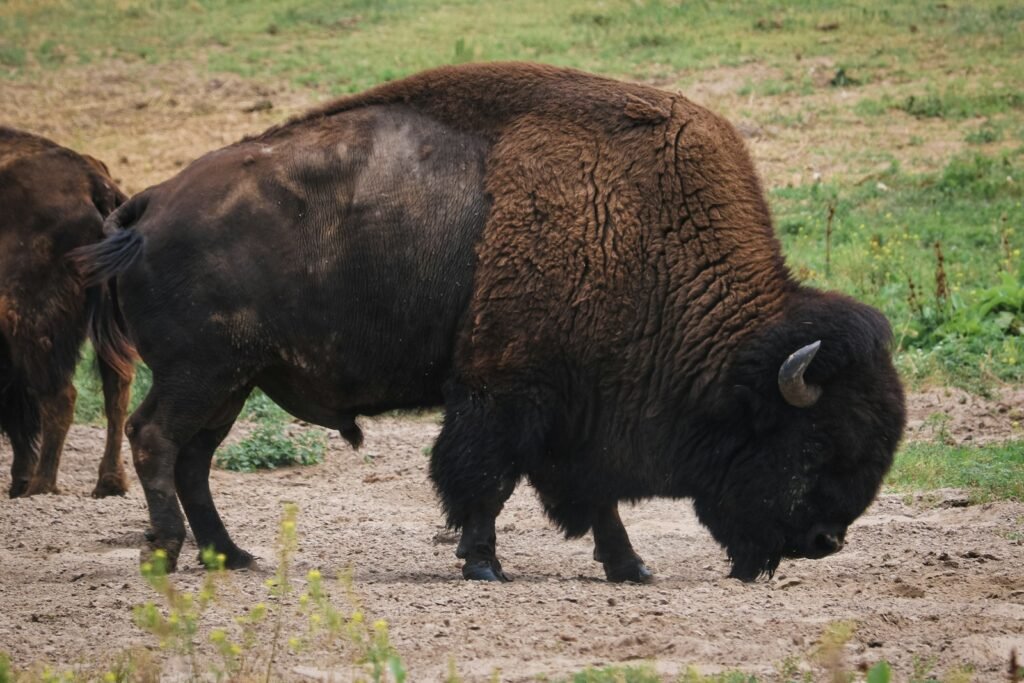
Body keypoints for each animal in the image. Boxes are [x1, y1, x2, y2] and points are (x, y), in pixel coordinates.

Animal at [1, 127, 134, 498]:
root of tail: (94, 182)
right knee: (117, 388)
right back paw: (109, 482)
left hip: (28, 321)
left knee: (60, 397)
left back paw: (40, 486)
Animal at [74, 63, 905, 582]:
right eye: (815, 437)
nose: (824, 541)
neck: (642, 229)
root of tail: (146, 206)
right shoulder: (506, 389)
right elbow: (484, 478)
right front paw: (484, 562)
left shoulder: (577, 409)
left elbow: (591, 495)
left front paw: (631, 566)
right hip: (202, 371)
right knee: (158, 439)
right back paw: (168, 551)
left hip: (232, 380)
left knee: (194, 457)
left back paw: (232, 555)